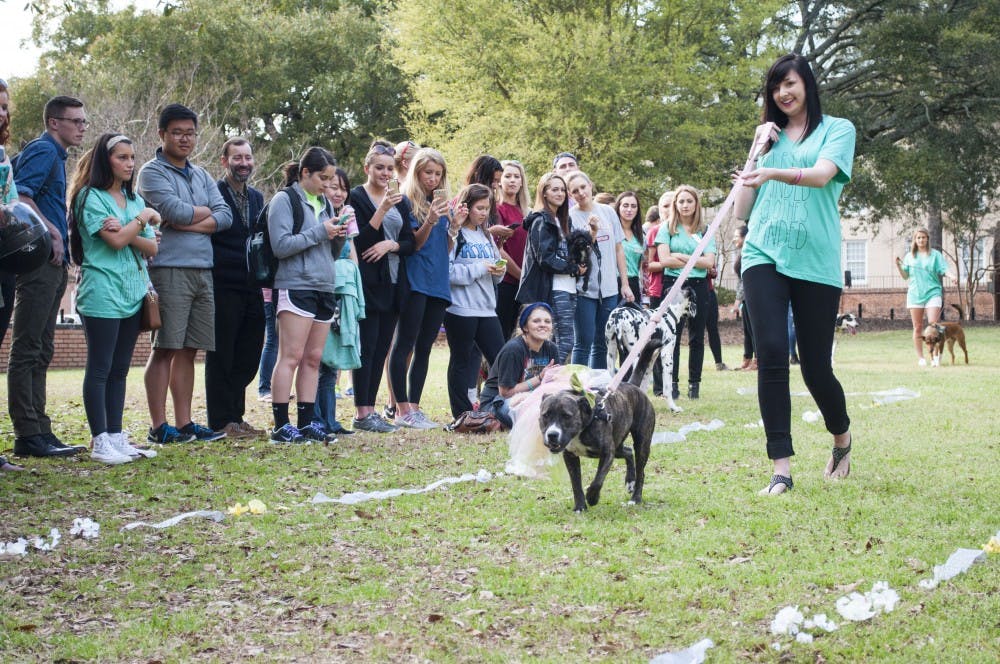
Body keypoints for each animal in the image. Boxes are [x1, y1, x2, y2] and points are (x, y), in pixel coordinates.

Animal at [539, 380, 655, 512]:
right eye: (545, 415)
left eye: (567, 416)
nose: (552, 434)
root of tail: (633, 386)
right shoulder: (570, 456)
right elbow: (576, 483)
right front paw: (580, 507)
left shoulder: (607, 452)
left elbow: (598, 480)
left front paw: (592, 497)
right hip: (617, 447)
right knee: (629, 452)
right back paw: (630, 481)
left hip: (641, 445)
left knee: (641, 472)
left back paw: (635, 499)